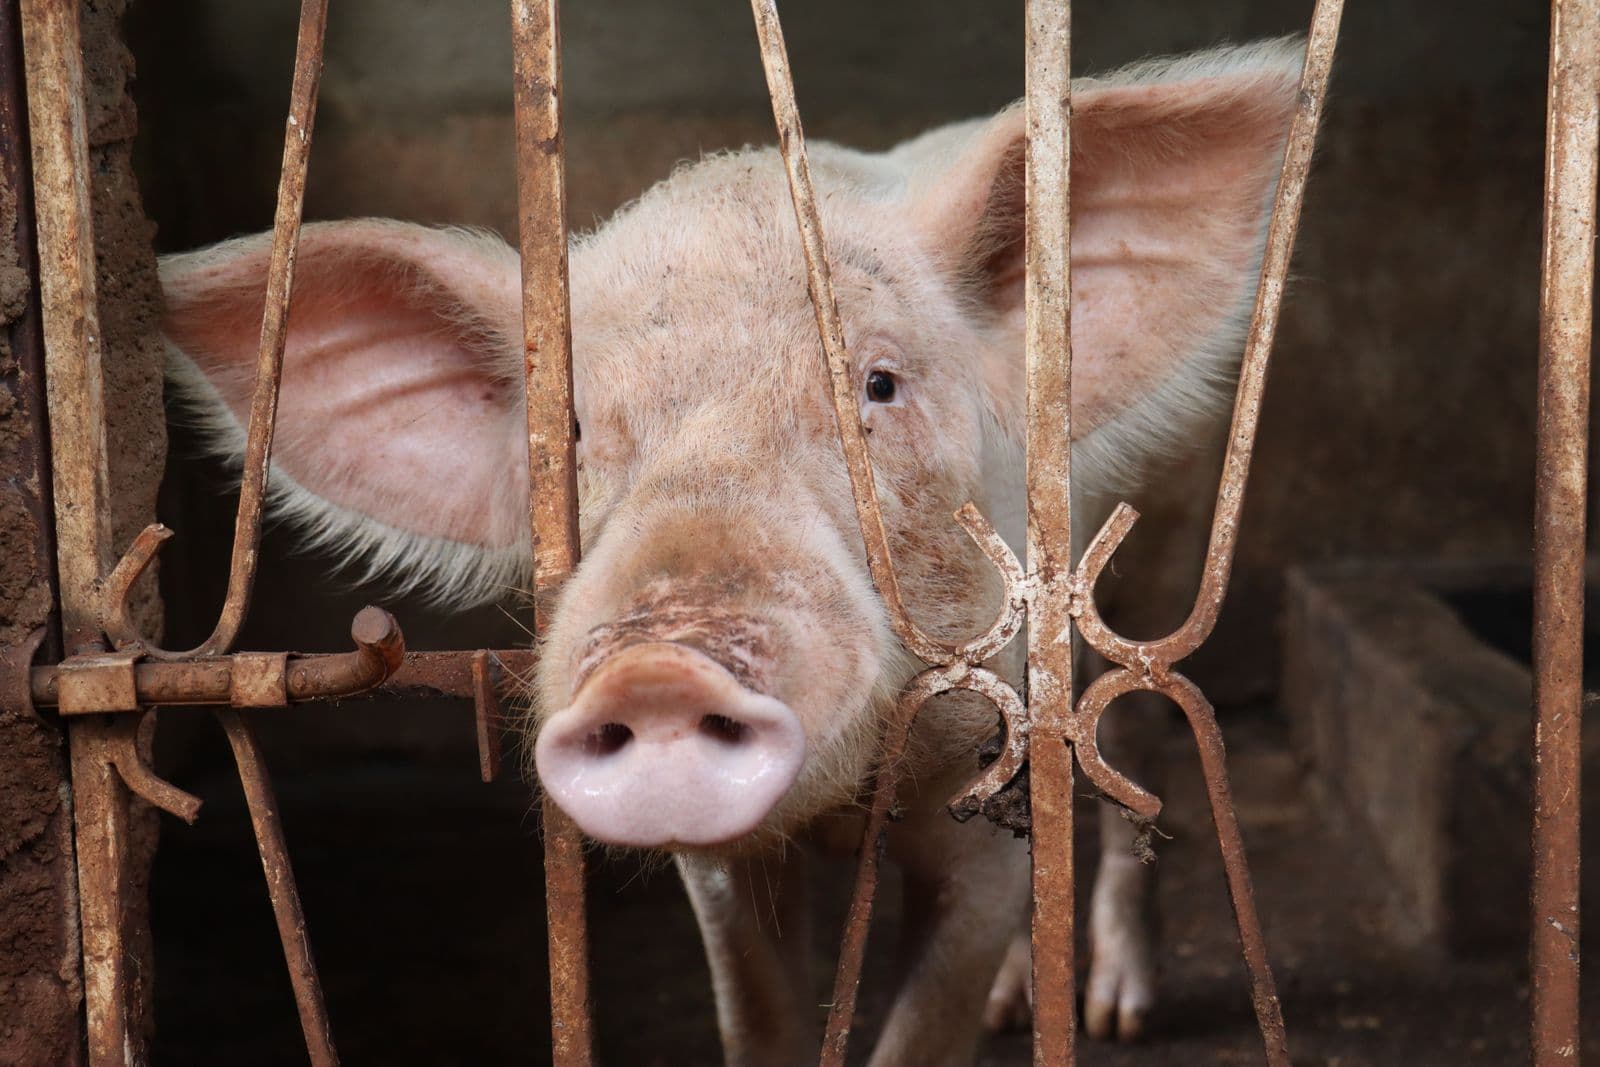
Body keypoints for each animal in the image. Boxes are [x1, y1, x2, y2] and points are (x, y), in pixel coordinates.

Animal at [159, 40, 1303, 1066]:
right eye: (570, 434)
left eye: (878, 385)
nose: (659, 663)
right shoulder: (717, 874)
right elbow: (754, 1012)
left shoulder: (990, 767)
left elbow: (932, 1008)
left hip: (1149, 569)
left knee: (1130, 750)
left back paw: (1114, 1012)